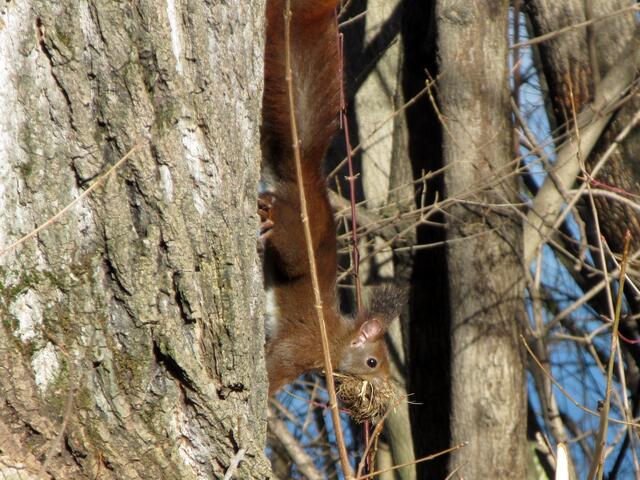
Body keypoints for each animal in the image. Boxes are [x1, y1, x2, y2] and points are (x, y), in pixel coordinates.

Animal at [259, 0, 402, 395]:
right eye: (372, 362)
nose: (382, 386)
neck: (336, 340)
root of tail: (307, 175)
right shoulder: (301, 346)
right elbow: (276, 366)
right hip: (297, 241)